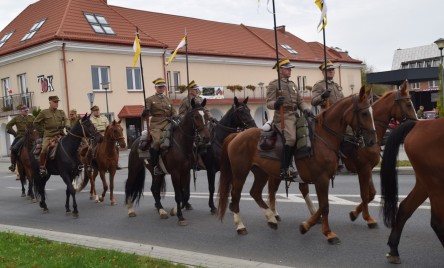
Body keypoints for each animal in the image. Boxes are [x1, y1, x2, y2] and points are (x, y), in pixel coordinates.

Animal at [123, 97, 210, 225]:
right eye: (196, 117)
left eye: (207, 116)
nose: (206, 138)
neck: (181, 144)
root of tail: (136, 141)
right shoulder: (175, 173)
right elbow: (178, 195)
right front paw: (180, 216)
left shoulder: (186, 172)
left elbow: (186, 194)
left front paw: (175, 210)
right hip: (134, 169)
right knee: (129, 185)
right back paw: (130, 210)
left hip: (157, 173)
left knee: (154, 189)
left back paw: (161, 210)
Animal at [217, 86, 376, 243]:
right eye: (364, 113)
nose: (372, 140)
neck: (323, 138)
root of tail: (237, 135)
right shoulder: (322, 179)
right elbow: (325, 206)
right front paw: (328, 233)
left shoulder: (324, 178)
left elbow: (322, 205)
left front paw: (306, 226)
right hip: (240, 173)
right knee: (236, 195)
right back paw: (240, 226)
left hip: (261, 172)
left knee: (255, 193)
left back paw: (271, 218)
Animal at [296, 80, 418, 228]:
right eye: (408, 104)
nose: (416, 123)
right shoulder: (363, 168)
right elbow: (365, 194)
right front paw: (367, 218)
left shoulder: (367, 169)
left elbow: (371, 194)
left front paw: (354, 214)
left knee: (303, 187)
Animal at [378, 119, 444, 264]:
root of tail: (419, 124)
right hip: (436, 184)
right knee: (437, 222)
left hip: (424, 183)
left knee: (405, 208)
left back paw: (393, 250)